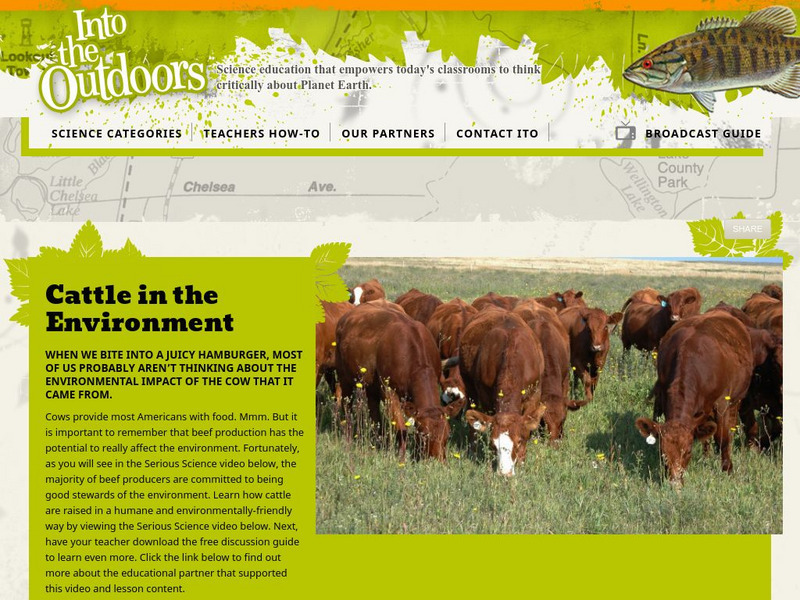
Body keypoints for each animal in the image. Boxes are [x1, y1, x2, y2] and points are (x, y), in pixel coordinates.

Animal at [335, 303, 464, 460]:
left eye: (447, 434)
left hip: (371, 385)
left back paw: (379, 442)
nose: (437, 462)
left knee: (374, 412)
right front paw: (402, 457)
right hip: (344, 377)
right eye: (423, 434)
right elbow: (401, 427)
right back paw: (348, 437)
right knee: (347, 405)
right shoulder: (389, 391)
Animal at [458, 308, 546, 476]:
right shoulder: (485, 396)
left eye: (519, 441)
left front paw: (522, 461)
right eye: (493, 445)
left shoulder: (535, 395)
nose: (505, 473)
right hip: (469, 387)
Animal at [635, 312, 755, 484]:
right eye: (662, 453)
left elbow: (723, 437)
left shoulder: (722, 403)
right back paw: (706, 455)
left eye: (688, 451)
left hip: (736, 399)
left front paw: (727, 469)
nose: (675, 483)